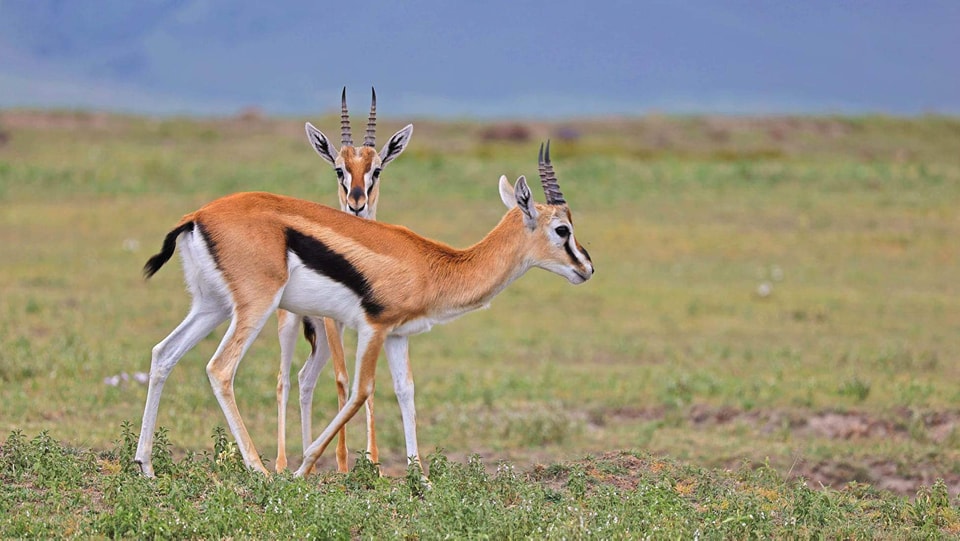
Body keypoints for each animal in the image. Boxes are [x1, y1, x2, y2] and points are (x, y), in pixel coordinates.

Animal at [133, 142, 594, 478]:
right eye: (562, 229)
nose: (587, 268)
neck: (432, 264)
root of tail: (197, 216)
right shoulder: (373, 328)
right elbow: (360, 392)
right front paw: (303, 468)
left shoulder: (398, 335)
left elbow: (406, 393)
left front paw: (420, 477)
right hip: (256, 308)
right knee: (220, 368)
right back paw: (260, 471)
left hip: (210, 307)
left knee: (162, 354)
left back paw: (146, 466)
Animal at [276, 88, 413, 473]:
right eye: (340, 169)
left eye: (376, 169)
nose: (356, 203)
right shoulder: (335, 323)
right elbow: (342, 380)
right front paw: (342, 463)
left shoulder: (372, 324)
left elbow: (369, 383)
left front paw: (374, 461)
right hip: (292, 325)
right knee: (284, 381)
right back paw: (281, 464)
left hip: (319, 338)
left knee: (305, 379)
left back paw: (307, 457)